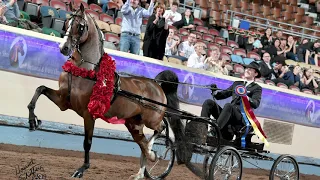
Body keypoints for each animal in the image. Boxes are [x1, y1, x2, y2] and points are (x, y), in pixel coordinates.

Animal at [26, 2, 182, 180]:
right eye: (67, 22)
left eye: (80, 26)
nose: (63, 48)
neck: (85, 71)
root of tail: (156, 84)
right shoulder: (63, 101)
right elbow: (40, 89)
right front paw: (33, 121)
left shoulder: (89, 113)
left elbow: (87, 142)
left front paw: (82, 169)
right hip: (134, 124)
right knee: (142, 143)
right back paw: (142, 169)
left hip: (151, 119)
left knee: (161, 130)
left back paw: (153, 153)